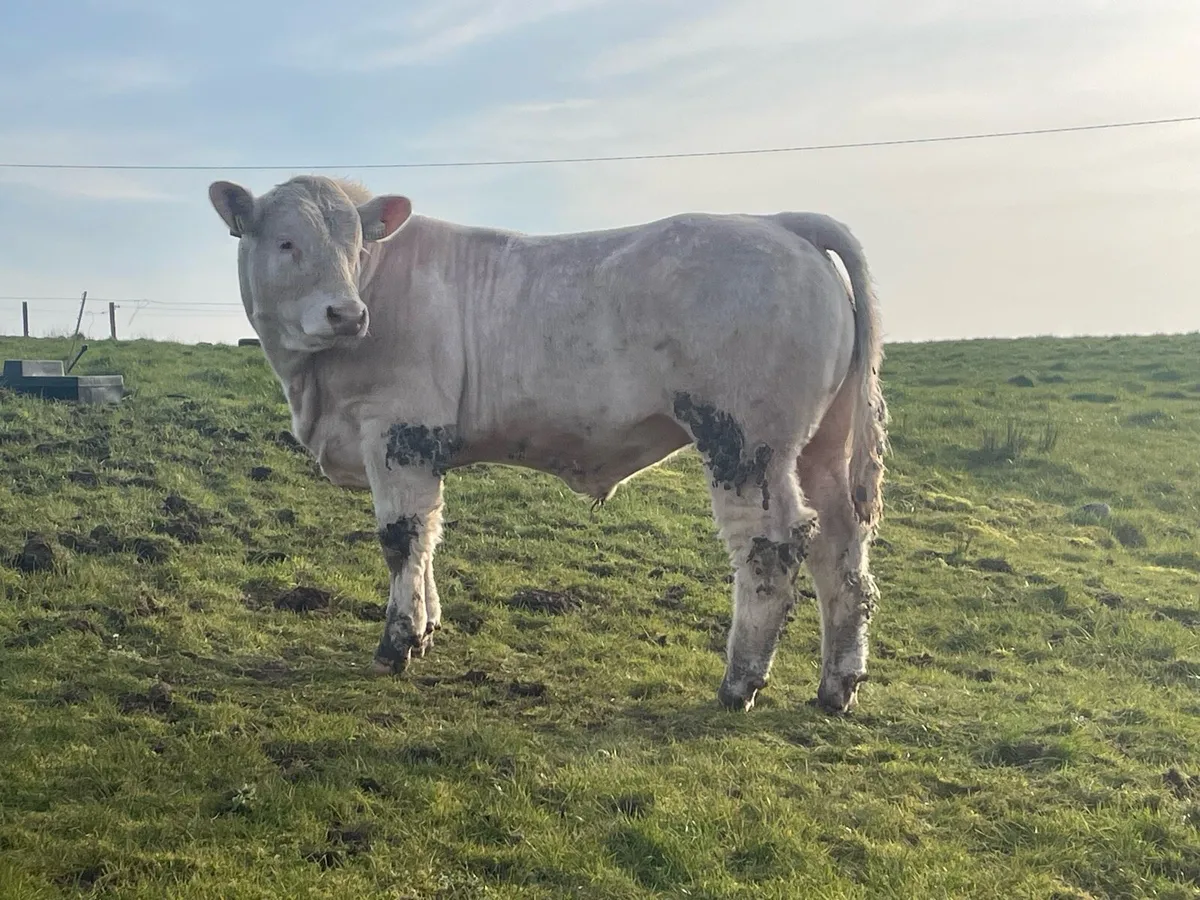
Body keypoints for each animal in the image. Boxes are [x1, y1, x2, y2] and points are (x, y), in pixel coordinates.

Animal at [207, 174, 888, 714]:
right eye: (286, 242)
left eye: (356, 244)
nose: (346, 314)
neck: (313, 386)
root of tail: (777, 221)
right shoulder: (420, 446)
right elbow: (430, 533)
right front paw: (426, 629)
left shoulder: (398, 428)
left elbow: (402, 537)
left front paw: (397, 642)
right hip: (820, 447)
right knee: (842, 548)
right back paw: (836, 686)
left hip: (746, 441)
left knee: (772, 547)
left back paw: (739, 682)